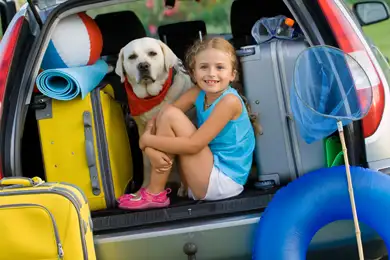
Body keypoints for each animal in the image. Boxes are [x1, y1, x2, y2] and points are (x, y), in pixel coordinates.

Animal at [116, 37, 195, 197]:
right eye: (132, 57)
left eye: (152, 53)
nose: (143, 65)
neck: (151, 98)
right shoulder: (142, 132)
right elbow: (147, 162)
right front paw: (142, 190)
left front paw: (184, 188)